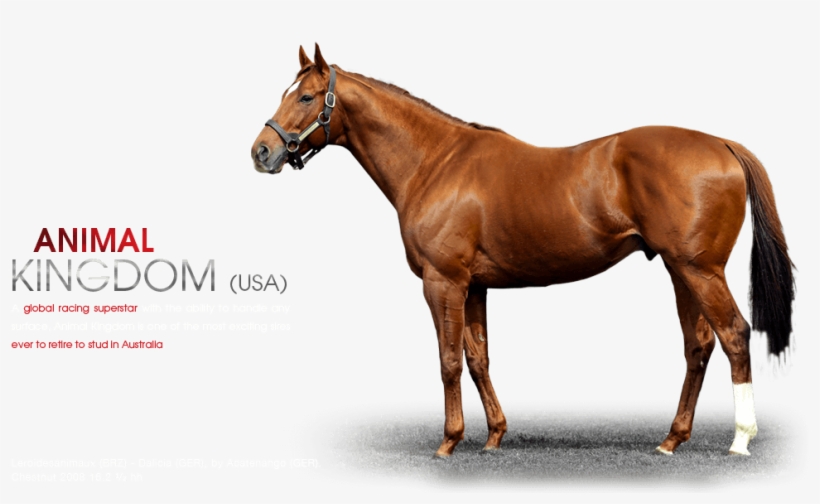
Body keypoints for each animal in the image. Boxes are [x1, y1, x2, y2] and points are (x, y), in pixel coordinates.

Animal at [251, 44, 794, 458]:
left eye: (306, 96)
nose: (261, 152)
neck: (435, 162)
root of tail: (722, 144)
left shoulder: (442, 282)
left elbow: (448, 360)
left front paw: (448, 443)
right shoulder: (474, 286)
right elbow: (478, 358)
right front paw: (493, 437)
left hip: (700, 270)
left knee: (734, 335)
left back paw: (740, 441)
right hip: (682, 271)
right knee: (698, 346)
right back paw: (671, 440)